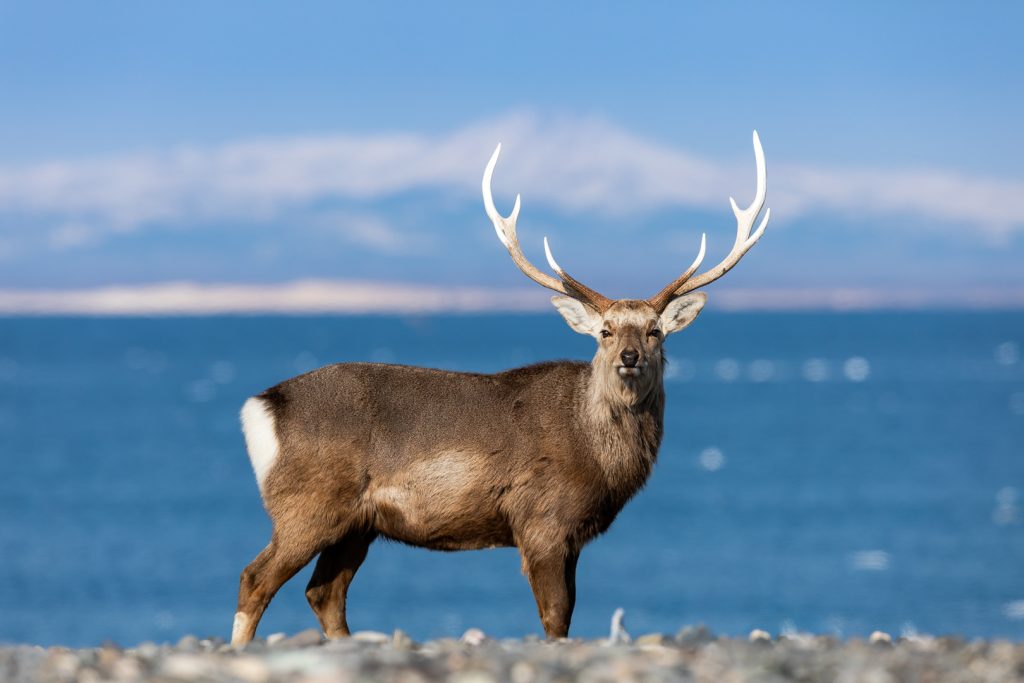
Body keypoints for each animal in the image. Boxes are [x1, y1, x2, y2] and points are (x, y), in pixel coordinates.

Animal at [231, 132, 770, 645]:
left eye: (655, 330)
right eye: (605, 331)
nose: (630, 356)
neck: (598, 455)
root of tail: (261, 406)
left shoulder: (570, 536)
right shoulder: (543, 520)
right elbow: (556, 618)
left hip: (357, 524)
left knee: (324, 593)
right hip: (307, 505)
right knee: (255, 578)